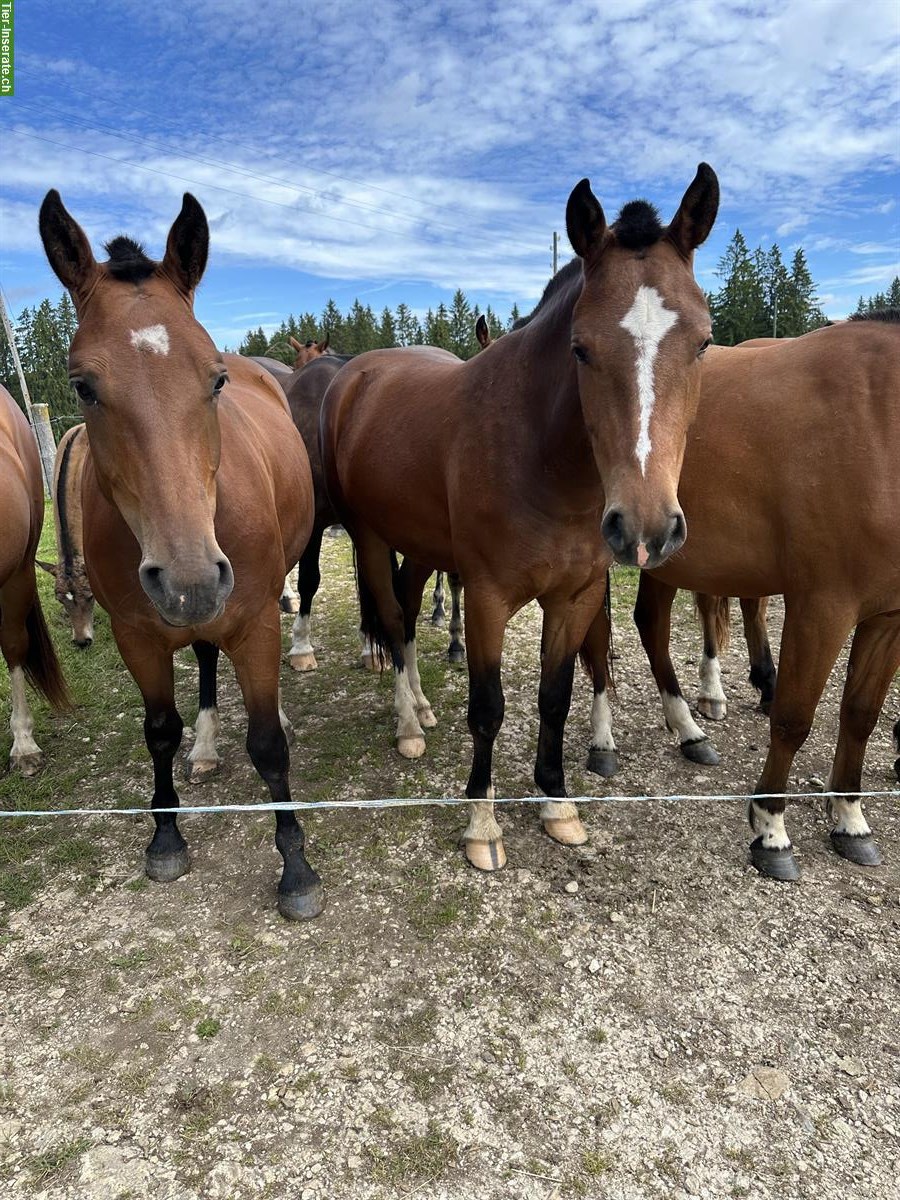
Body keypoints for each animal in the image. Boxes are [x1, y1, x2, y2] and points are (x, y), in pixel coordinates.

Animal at [41, 187, 328, 916]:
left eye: (215, 379)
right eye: (83, 386)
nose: (189, 579)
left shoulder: (251, 620)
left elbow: (268, 744)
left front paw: (296, 866)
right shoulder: (136, 634)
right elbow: (159, 730)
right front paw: (166, 835)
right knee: (199, 659)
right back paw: (203, 743)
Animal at [321, 164, 724, 868]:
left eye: (703, 342)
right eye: (581, 349)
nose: (646, 528)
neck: (539, 456)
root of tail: (357, 374)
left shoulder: (575, 596)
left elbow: (555, 699)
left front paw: (557, 803)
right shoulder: (485, 597)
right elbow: (489, 708)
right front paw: (483, 823)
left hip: (420, 544)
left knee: (406, 610)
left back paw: (421, 705)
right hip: (369, 537)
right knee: (393, 619)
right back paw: (408, 724)